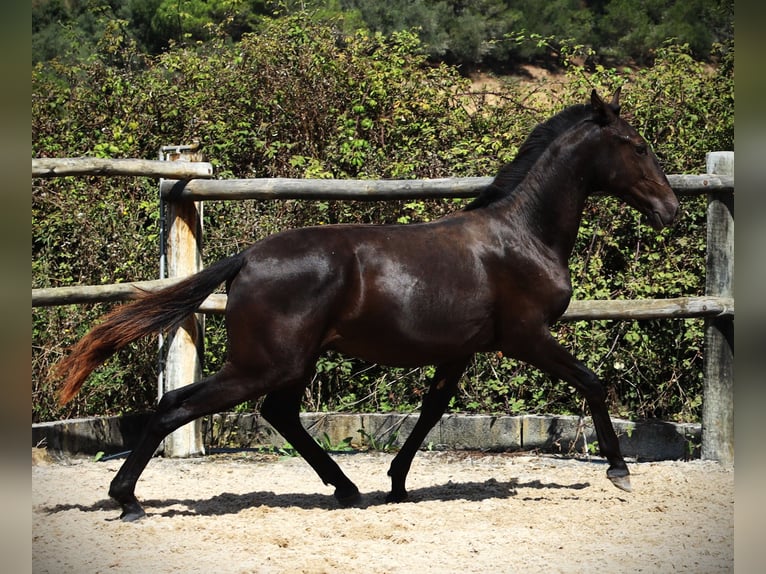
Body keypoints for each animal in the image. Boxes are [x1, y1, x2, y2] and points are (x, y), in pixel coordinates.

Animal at [54, 89, 680, 520]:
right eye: (639, 146)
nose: (671, 210)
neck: (522, 236)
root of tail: (248, 256)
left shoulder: (459, 350)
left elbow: (431, 411)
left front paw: (397, 482)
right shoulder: (525, 337)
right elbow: (593, 382)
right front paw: (620, 469)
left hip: (292, 361)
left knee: (277, 413)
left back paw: (348, 488)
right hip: (266, 363)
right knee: (177, 405)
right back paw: (127, 499)